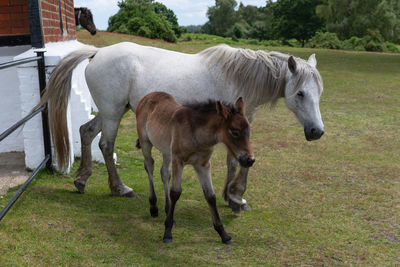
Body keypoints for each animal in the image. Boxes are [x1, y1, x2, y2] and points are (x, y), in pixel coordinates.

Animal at [36, 42, 324, 214]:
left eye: (319, 92)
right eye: (300, 94)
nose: (317, 132)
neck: (238, 77)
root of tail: (98, 52)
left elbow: (237, 161)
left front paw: (233, 196)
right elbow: (238, 161)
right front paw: (236, 197)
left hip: (111, 112)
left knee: (86, 132)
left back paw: (82, 180)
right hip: (113, 113)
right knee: (106, 145)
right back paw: (120, 188)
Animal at [135, 92, 253, 245]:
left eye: (249, 131)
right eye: (235, 132)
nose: (250, 160)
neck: (196, 134)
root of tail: (149, 95)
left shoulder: (203, 165)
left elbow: (210, 196)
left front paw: (224, 234)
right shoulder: (178, 161)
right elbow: (175, 192)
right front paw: (167, 233)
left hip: (166, 151)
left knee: (164, 173)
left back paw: (167, 209)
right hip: (146, 143)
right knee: (149, 166)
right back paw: (154, 207)